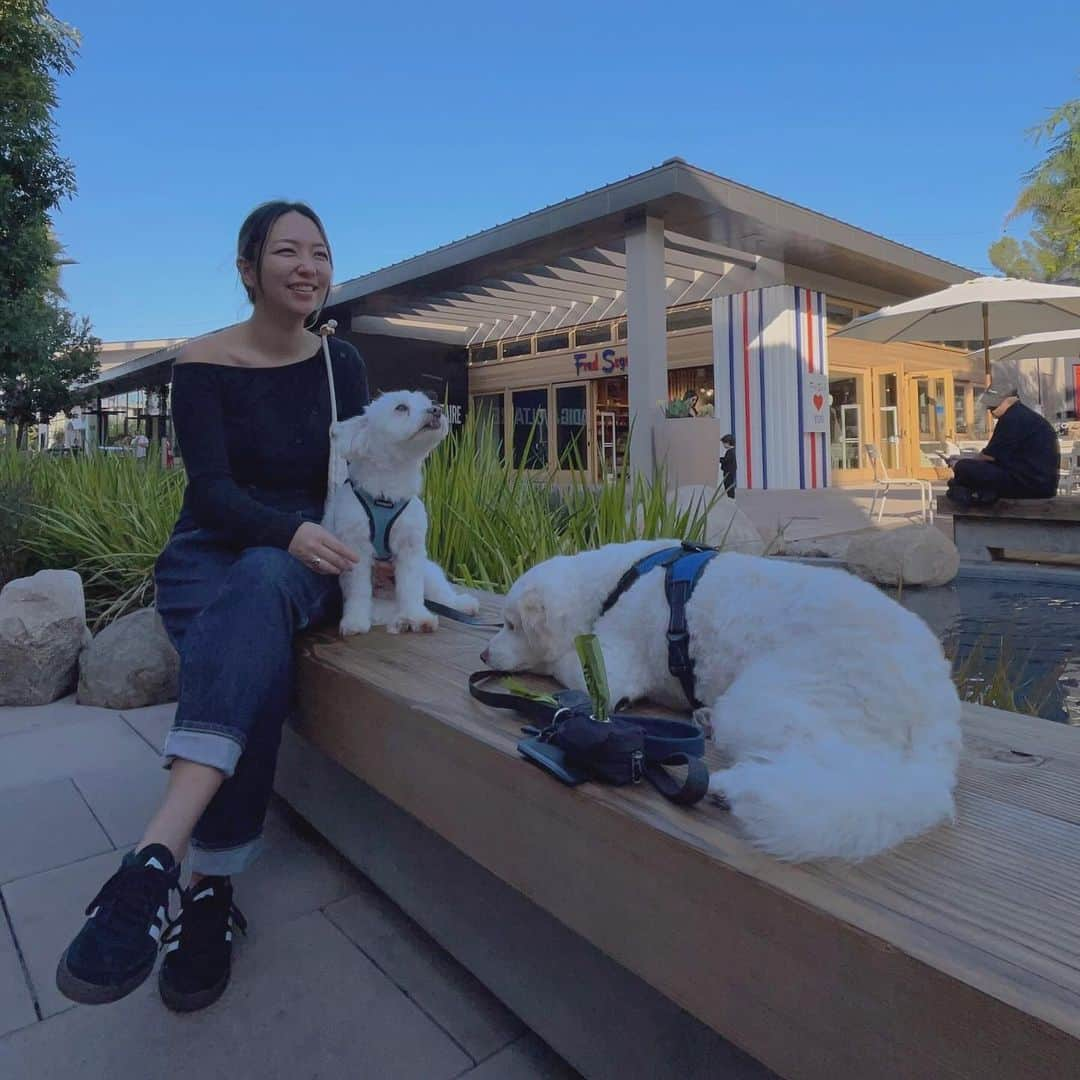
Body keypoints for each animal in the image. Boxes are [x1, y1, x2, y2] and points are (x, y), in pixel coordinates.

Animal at [321, 393, 479, 635]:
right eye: (401, 407)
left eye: (429, 402)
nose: (436, 410)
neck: (387, 495)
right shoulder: (355, 548)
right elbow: (358, 590)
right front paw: (355, 621)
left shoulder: (410, 547)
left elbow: (411, 587)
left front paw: (417, 616)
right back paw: (400, 620)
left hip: (429, 572)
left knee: (441, 595)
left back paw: (460, 604)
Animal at [481, 540, 963, 859]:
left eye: (510, 625)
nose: (484, 655)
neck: (614, 585)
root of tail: (936, 700)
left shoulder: (611, 666)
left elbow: (562, 662)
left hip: (766, 700)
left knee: (830, 769)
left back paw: (730, 788)